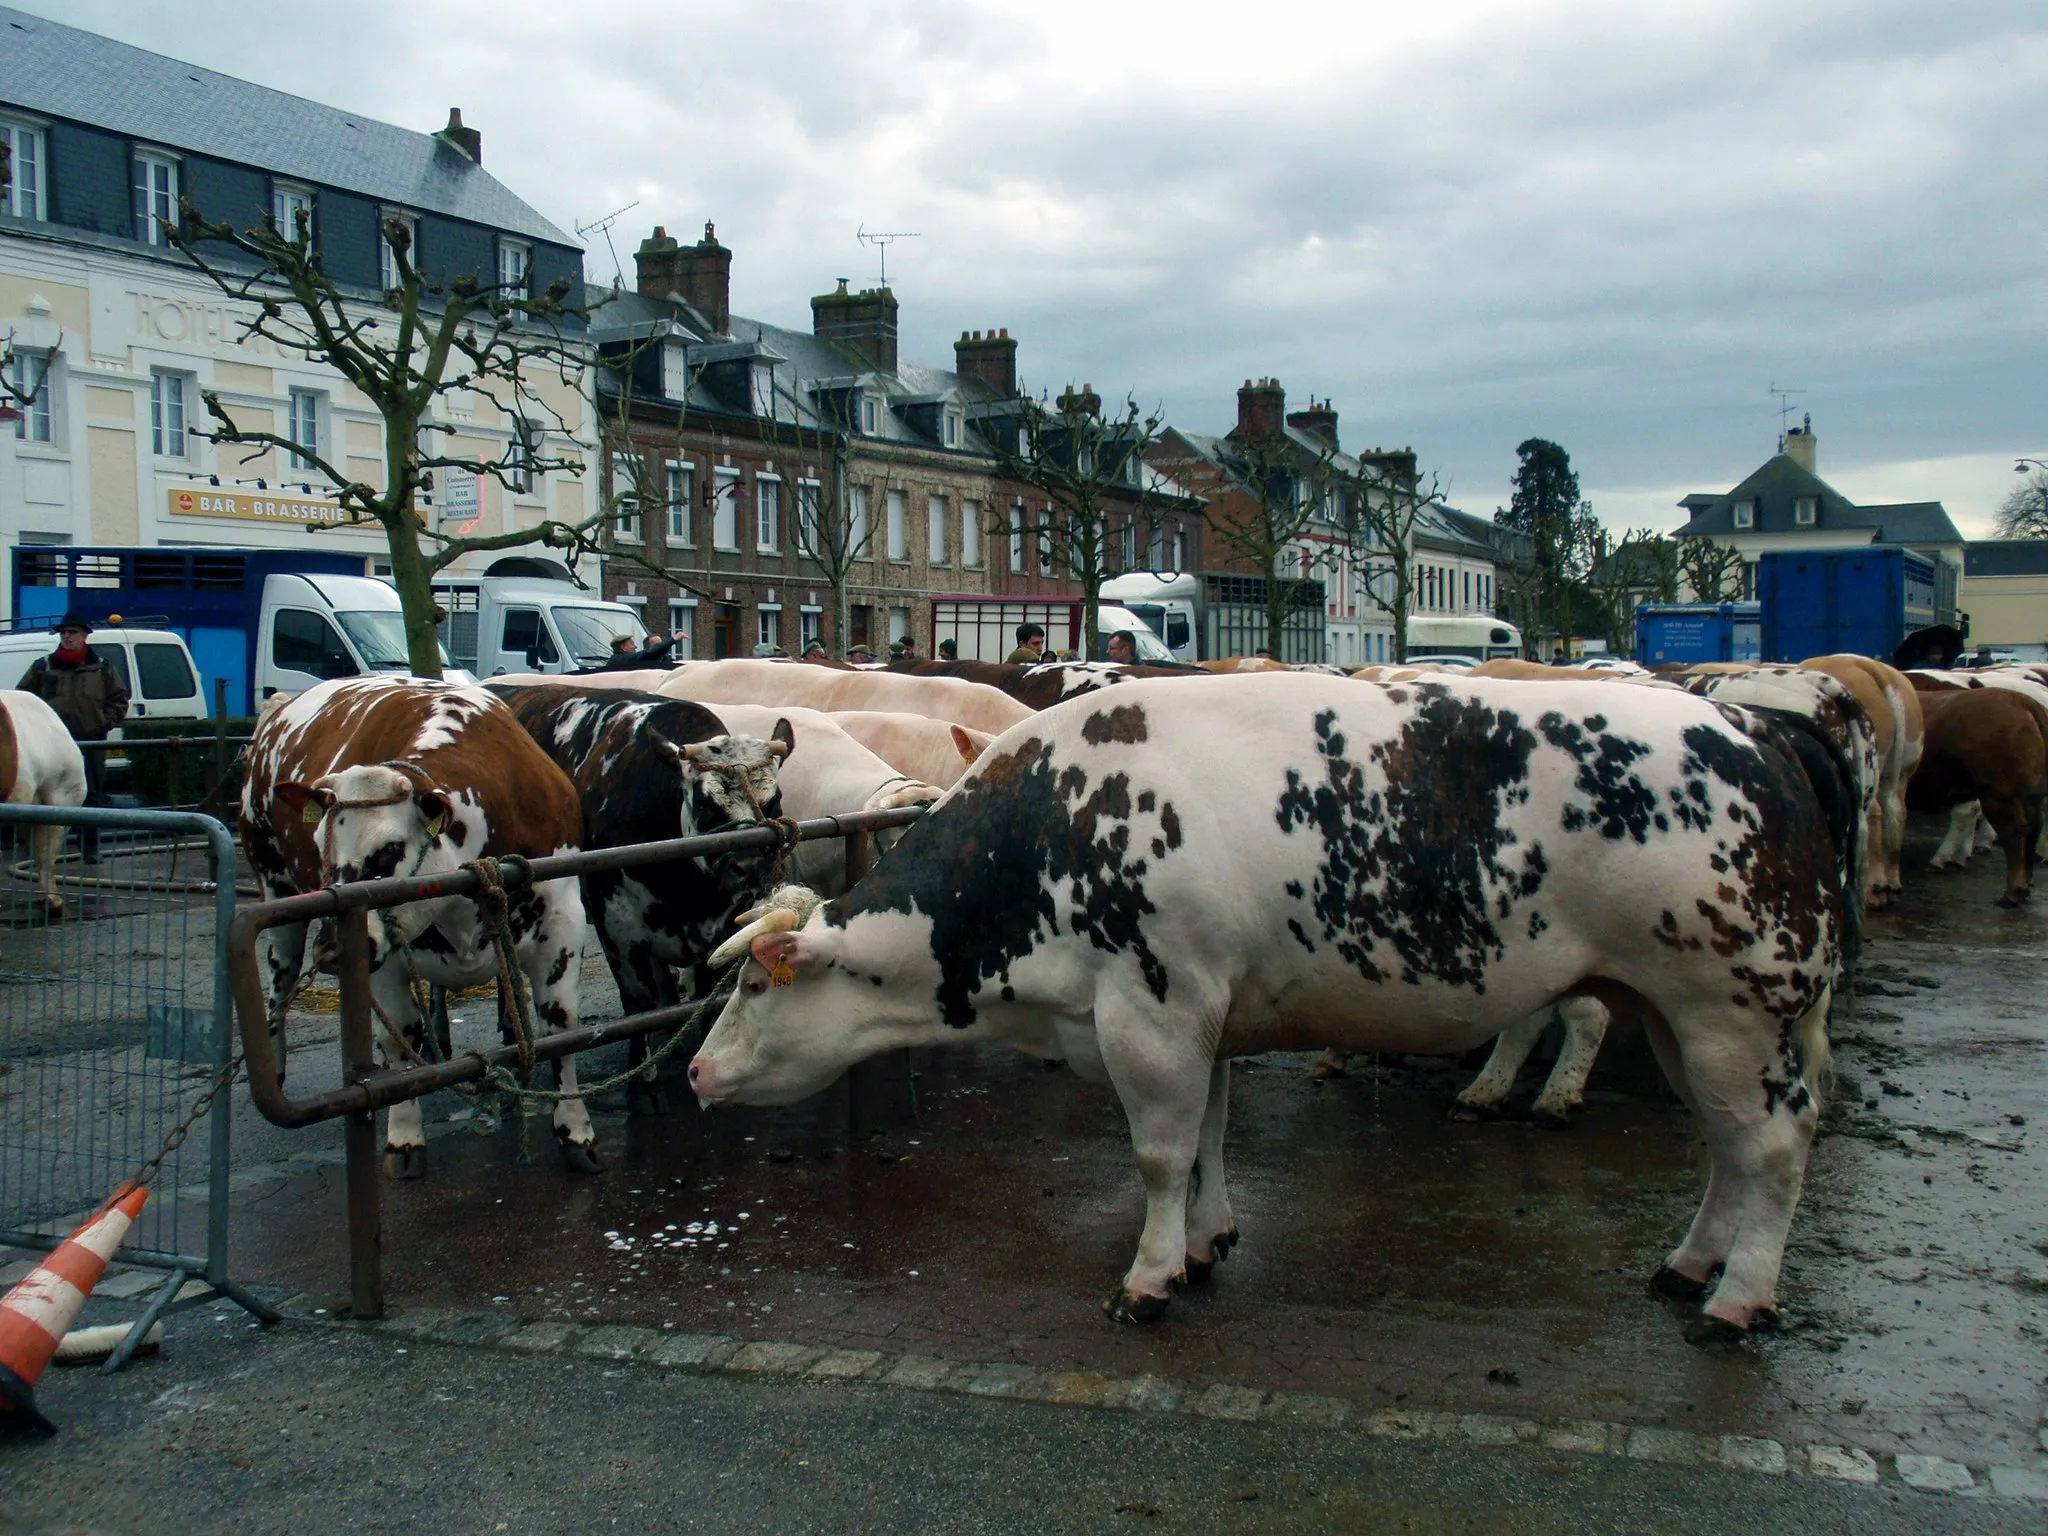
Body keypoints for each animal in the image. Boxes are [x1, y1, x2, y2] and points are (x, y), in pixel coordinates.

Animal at [244, 675, 598, 1179]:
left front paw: (574, 1129)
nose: (332, 951)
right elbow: (398, 1039)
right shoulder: (379, 955)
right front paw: (404, 1137)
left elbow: (561, 1027)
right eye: (321, 848)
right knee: (279, 980)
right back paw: (274, 1066)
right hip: (275, 889)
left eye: (390, 850)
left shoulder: (563, 916)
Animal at [487, 684, 790, 1105]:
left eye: (773, 800)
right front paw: (643, 1085)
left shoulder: (726, 920)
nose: (748, 865)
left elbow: (708, 989)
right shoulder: (616, 925)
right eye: (705, 803)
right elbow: (638, 1002)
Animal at [696, 679, 1851, 1343]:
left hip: (1730, 1009)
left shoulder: (1150, 1013)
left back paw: (1736, 1298)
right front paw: (1205, 1245)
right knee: (1729, 1148)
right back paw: (1688, 1265)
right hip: (1675, 1013)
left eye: (750, 985)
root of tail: (1755, 725)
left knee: (1772, 1147)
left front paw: (1149, 1277)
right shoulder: (1204, 1016)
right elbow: (1207, 1141)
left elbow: (1159, 1155)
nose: (699, 1072)